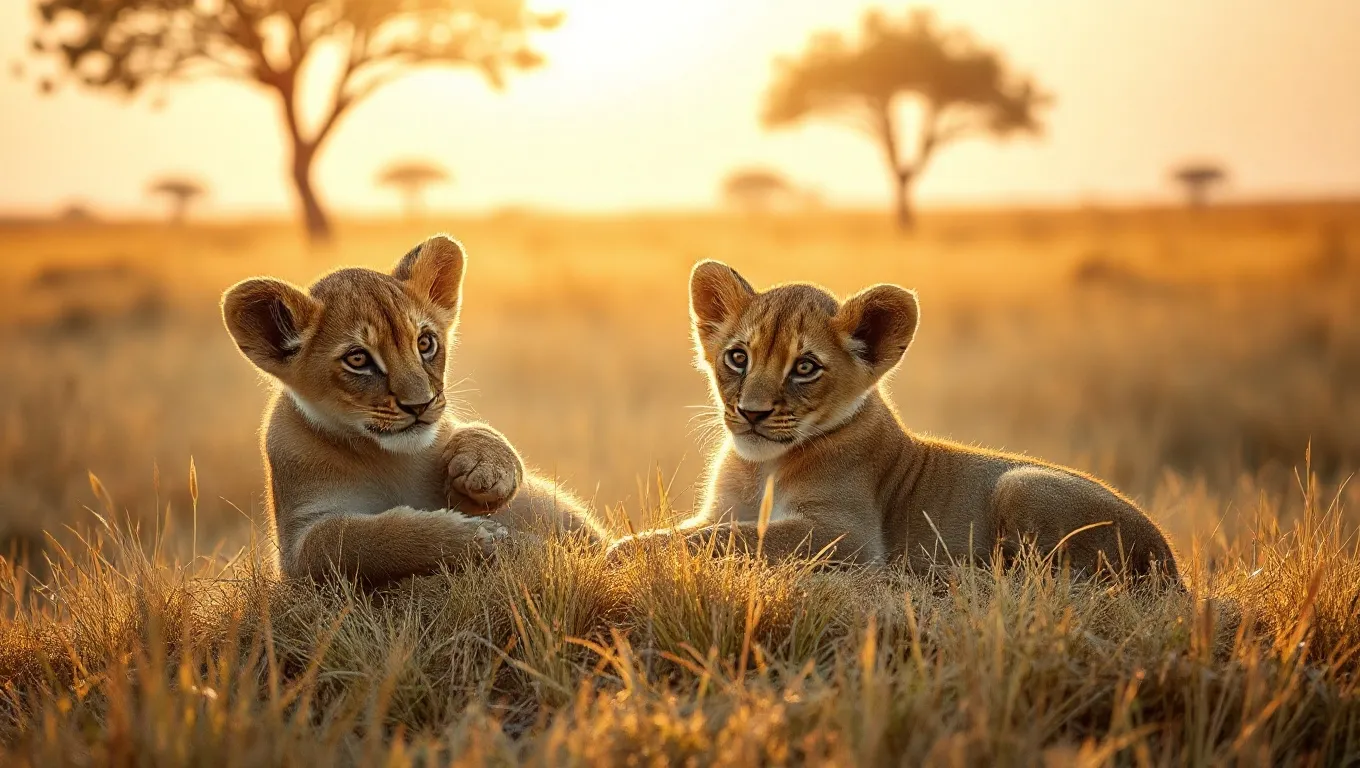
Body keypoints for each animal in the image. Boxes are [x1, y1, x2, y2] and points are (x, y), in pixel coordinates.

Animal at [222, 235, 602, 585]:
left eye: (425, 343)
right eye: (357, 359)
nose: (419, 404)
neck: (388, 457)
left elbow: (481, 431)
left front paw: (487, 470)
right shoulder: (296, 547)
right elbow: (352, 541)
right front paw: (471, 538)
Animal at [607, 260, 1179, 581]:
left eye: (805, 367)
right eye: (738, 357)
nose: (751, 412)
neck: (760, 469)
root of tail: (1170, 563)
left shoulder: (847, 536)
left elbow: (736, 538)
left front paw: (624, 551)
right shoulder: (720, 510)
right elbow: (705, 530)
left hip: (1023, 483)